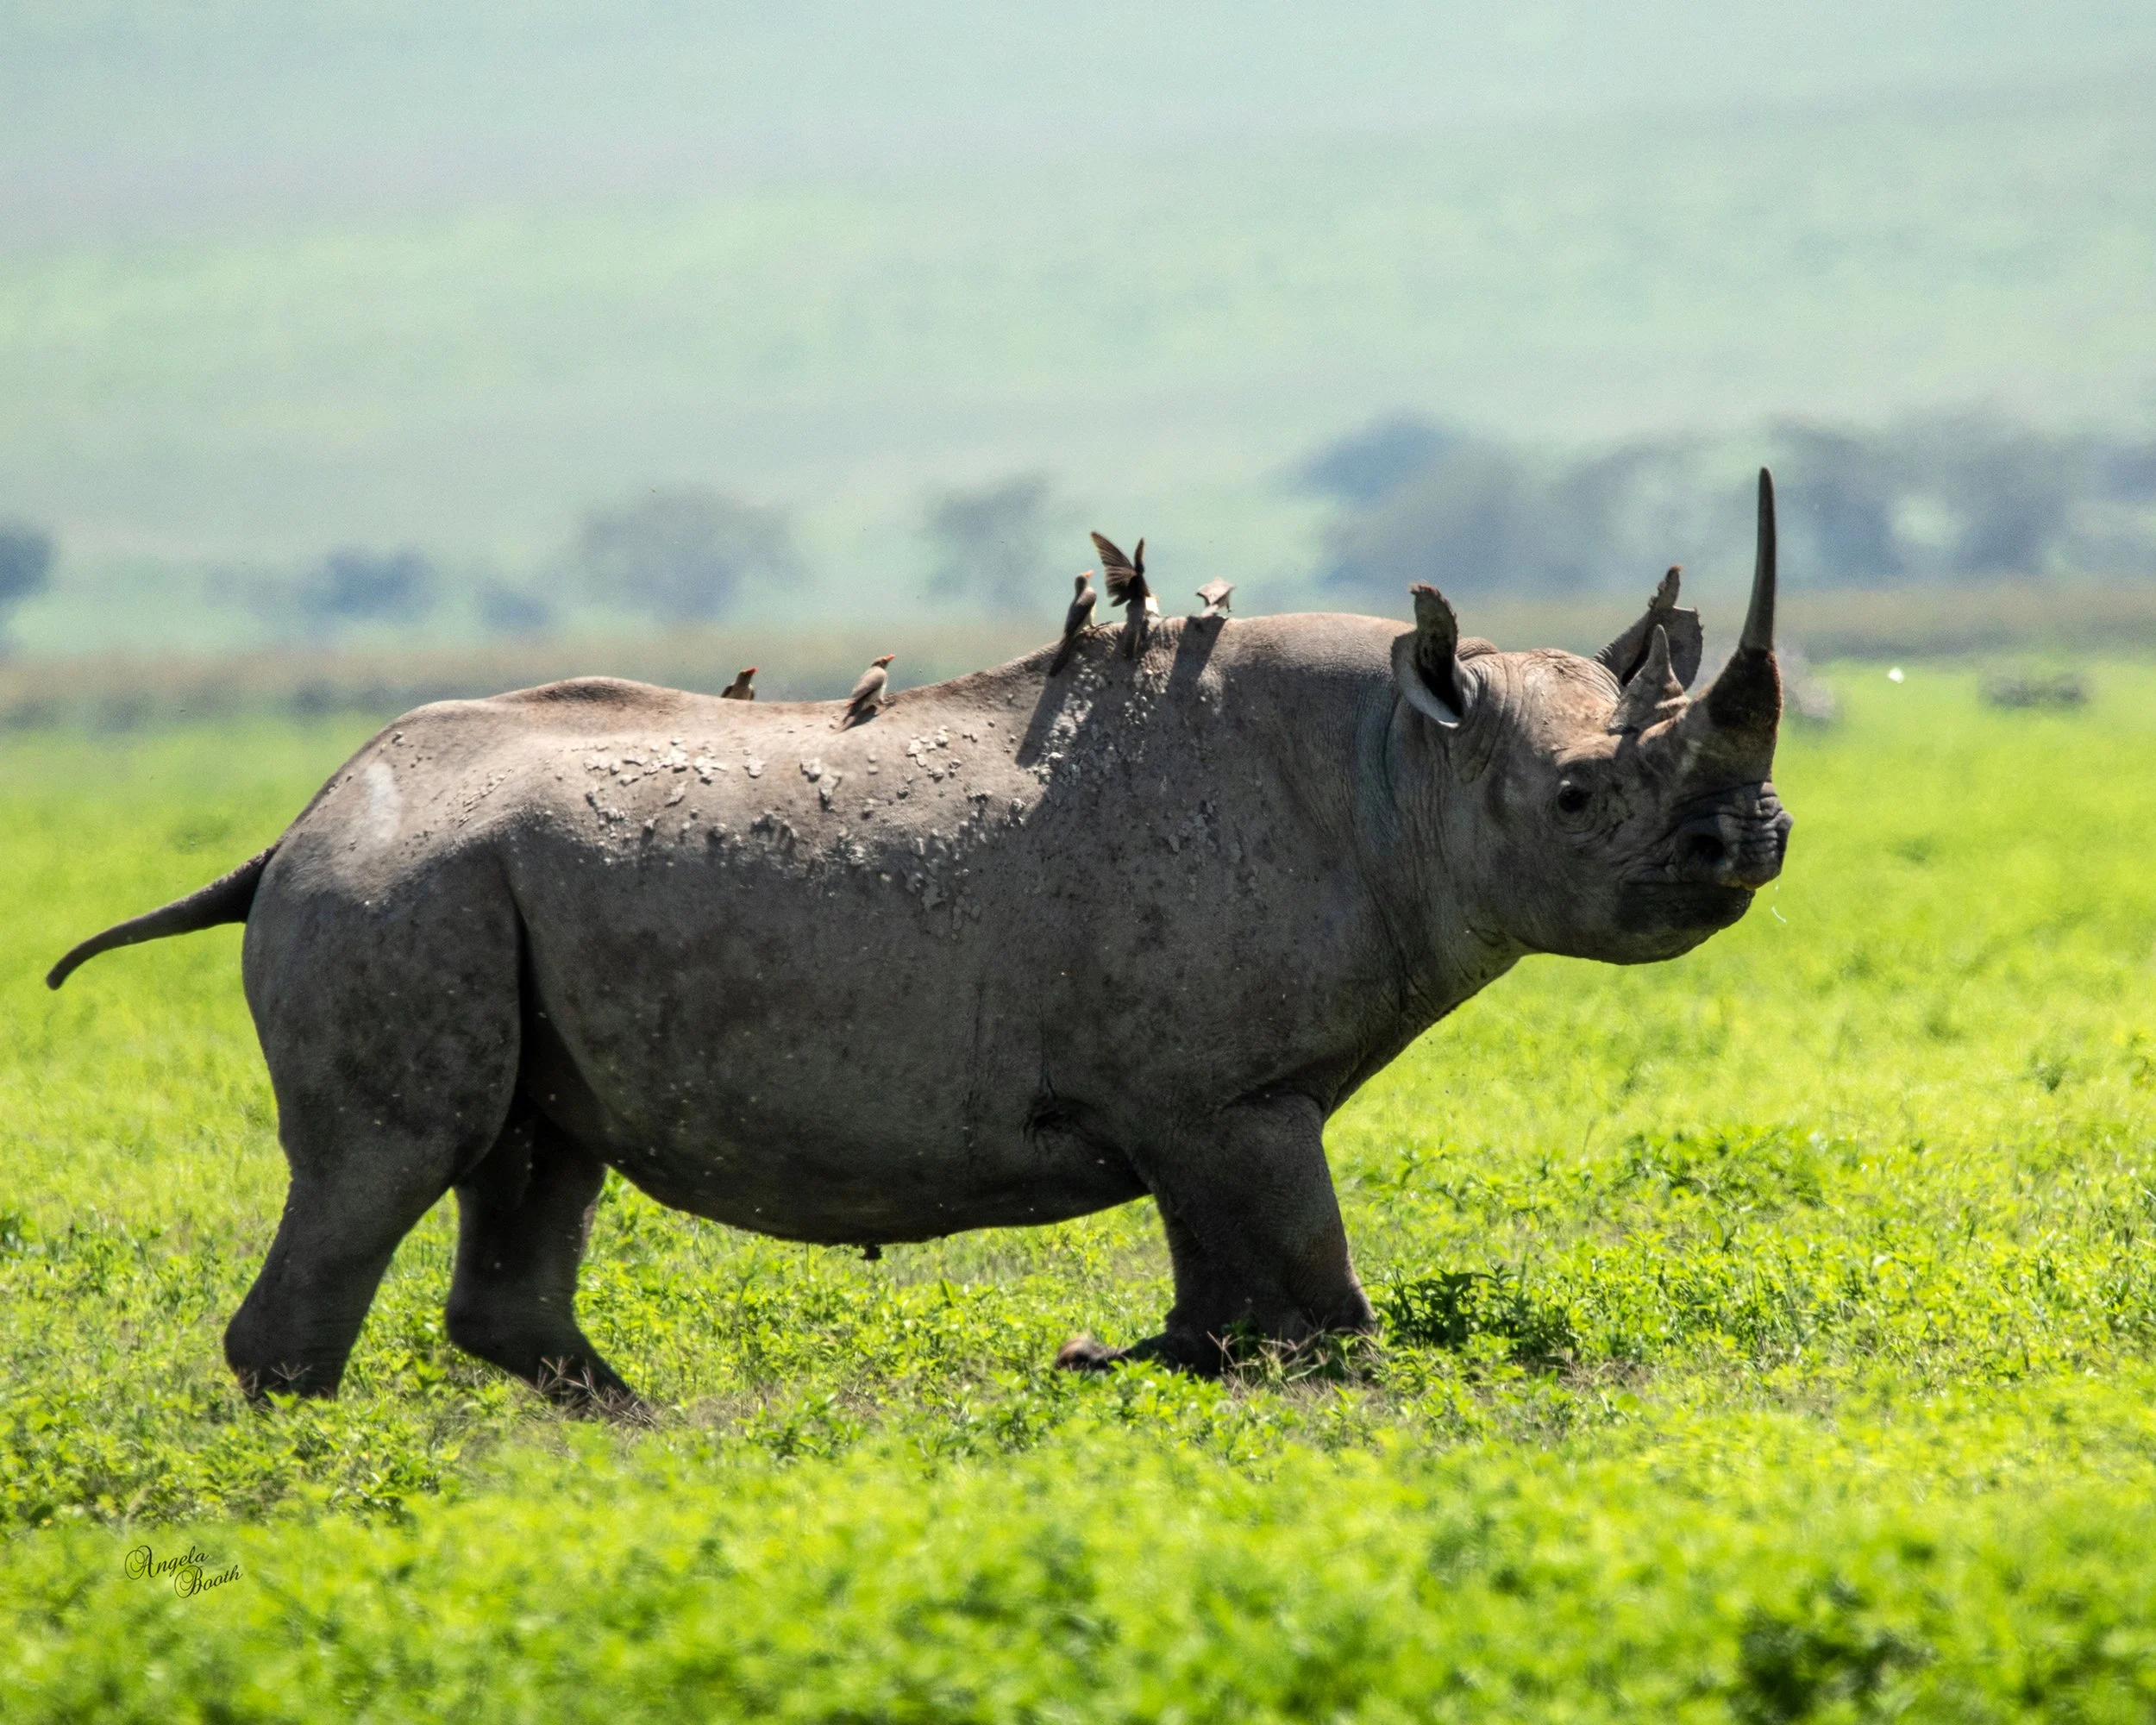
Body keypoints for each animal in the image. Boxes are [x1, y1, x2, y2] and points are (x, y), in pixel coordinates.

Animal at [49, 473, 1791, 1407]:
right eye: (1577, 799)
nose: (1753, 843)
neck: (1408, 764)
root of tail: (298, 822)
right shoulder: (1227, 1095)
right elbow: (1312, 1300)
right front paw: (1323, 1407)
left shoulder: (1207, 1102)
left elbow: (1232, 1307)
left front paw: (1112, 1369)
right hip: (395, 889)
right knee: (389, 1160)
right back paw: (309, 1465)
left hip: (462, 886)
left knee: (534, 1159)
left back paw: (658, 1443)